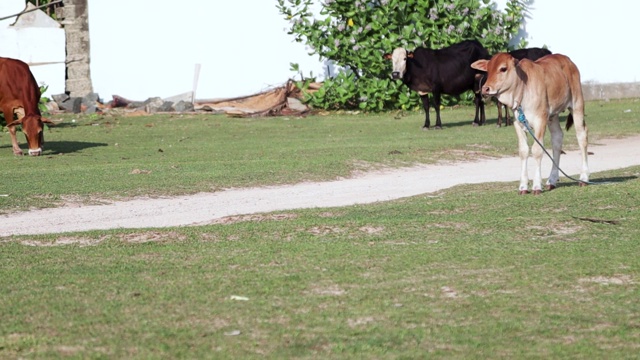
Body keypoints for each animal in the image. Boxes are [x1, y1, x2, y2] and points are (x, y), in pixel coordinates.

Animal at [470, 53, 592, 194]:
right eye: (488, 70)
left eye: (503, 68)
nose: (485, 89)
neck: (522, 91)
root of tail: (567, 60)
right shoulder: (518, 123)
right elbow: (523, 151)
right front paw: (523, 186)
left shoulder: (540, 121)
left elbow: (537, 150)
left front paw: (537, 185)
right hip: (553, 116)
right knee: (557, 139)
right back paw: (552, 180)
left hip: (577, 105)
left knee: (582, 136)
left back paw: (584, 177)